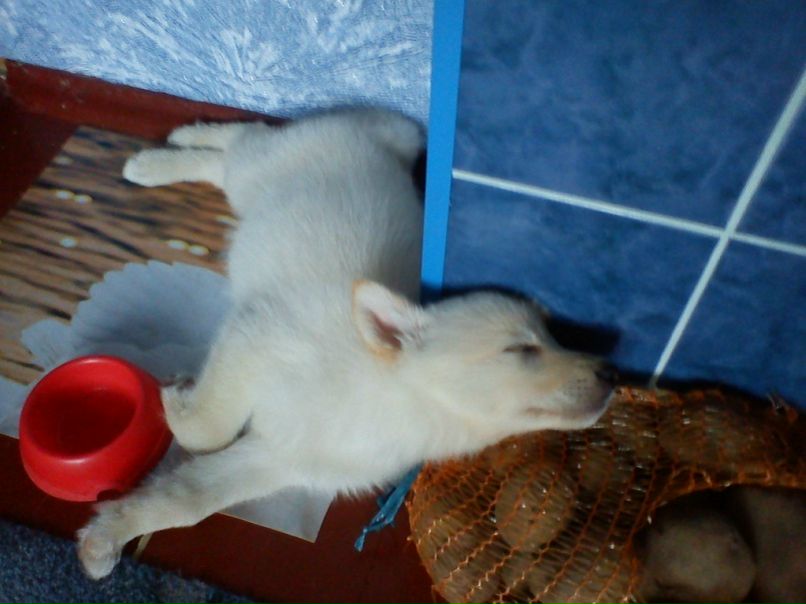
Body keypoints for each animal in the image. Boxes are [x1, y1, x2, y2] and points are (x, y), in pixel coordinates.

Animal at [77, 109, 614, 579]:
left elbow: (186, 500)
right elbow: (207, 429)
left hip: (256, 184)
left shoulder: (280, 456)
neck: (390, 407)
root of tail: (373, 138)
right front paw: (175, 396)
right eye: (521, 350)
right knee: (243, 138)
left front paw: (106, 536)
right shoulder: (255, 333)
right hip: (260, 169)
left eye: (553, 336)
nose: (610, 372)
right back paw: (166, 151)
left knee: (229, 158)